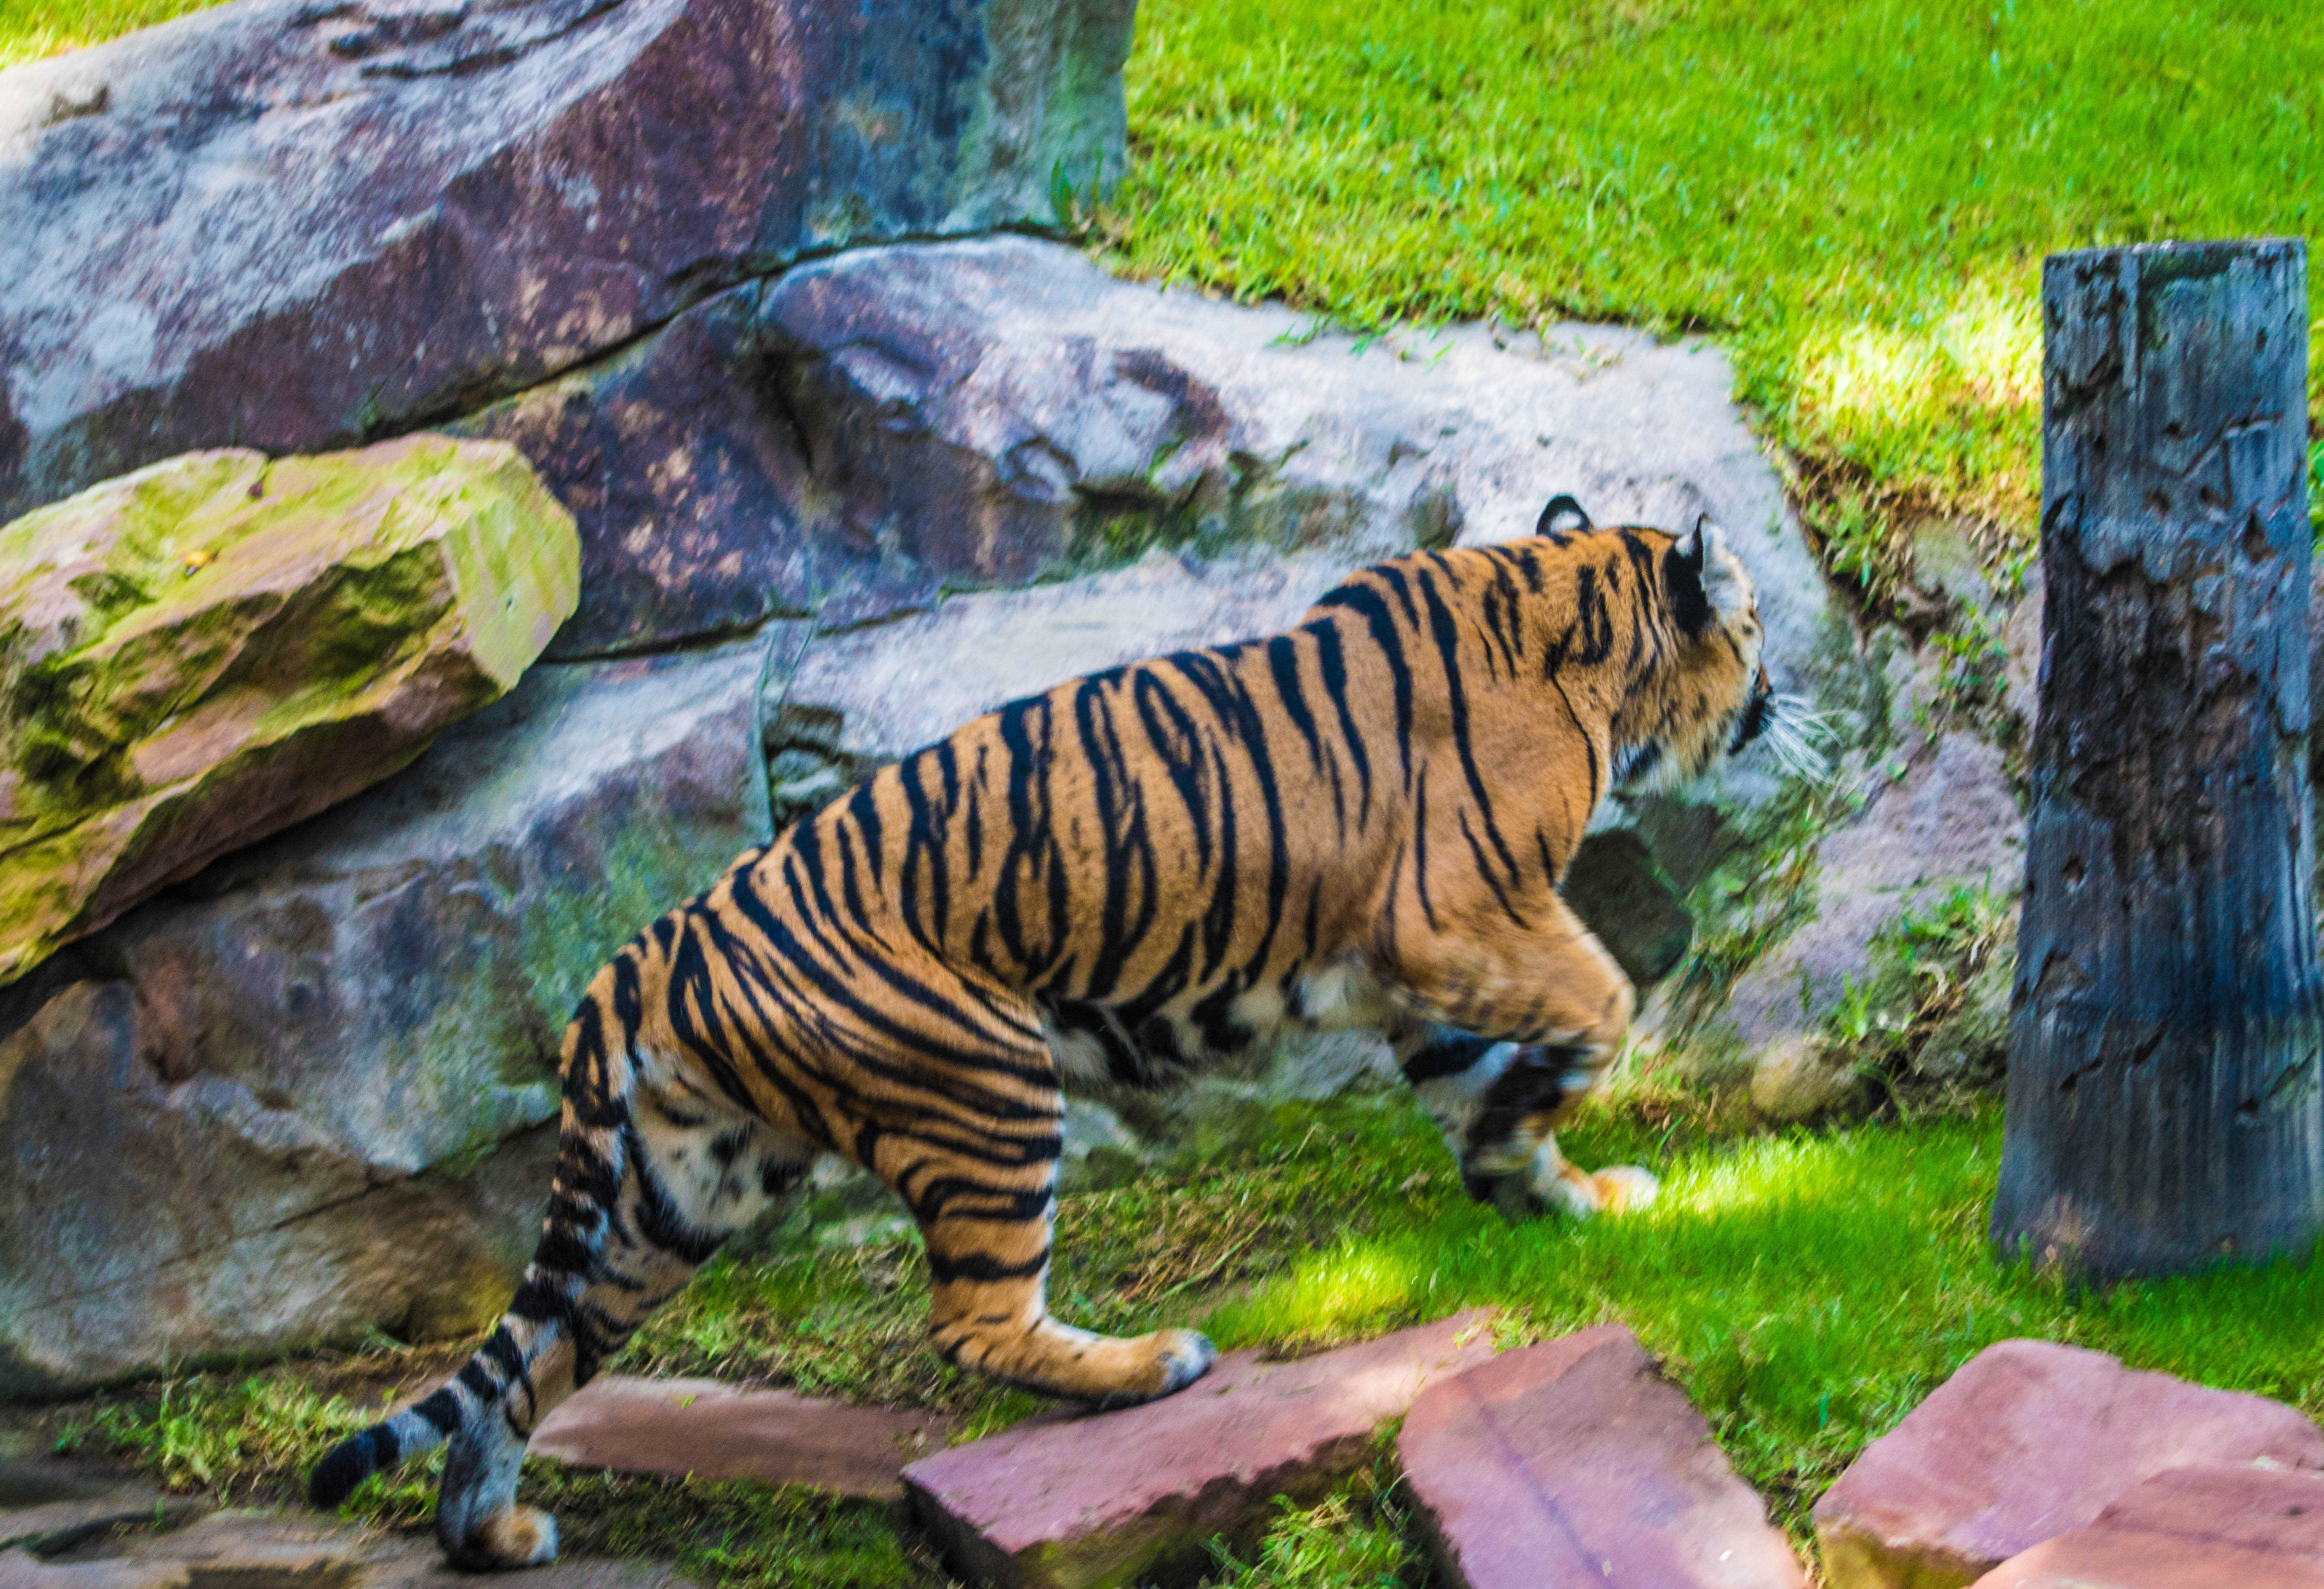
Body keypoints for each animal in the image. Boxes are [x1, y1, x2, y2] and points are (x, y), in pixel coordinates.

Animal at [309, 502, 1792, 1569]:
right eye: (1756, 626)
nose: (1781, 696)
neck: (1576, 616)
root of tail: (647, 946)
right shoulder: (1456, 912)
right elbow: (1599, 998)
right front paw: (1565, 1130)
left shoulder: (1415, 965)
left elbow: (1483, 1082)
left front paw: (1548, 1186)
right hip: (987, 1086)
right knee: (973, 1319)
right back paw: (1148, 1366)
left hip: (680, 1193)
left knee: (529, 1362)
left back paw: (489, 1532)